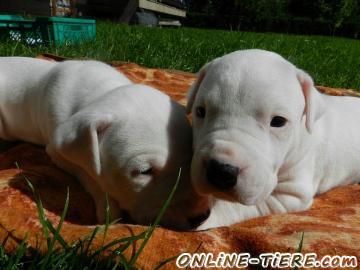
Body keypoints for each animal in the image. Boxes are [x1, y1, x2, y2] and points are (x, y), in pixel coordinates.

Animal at [0, 57, 210, 230]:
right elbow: (89, 173)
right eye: (144, 171)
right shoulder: (57, 150)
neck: (101, 92)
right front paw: (108, 208)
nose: (200, 217)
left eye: (191, 157)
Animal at [187, 49, 360, 229]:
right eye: (200, 111)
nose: (221, 171)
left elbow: (240, 205)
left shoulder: (291, 194)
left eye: (278, 121)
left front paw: (208, 218)